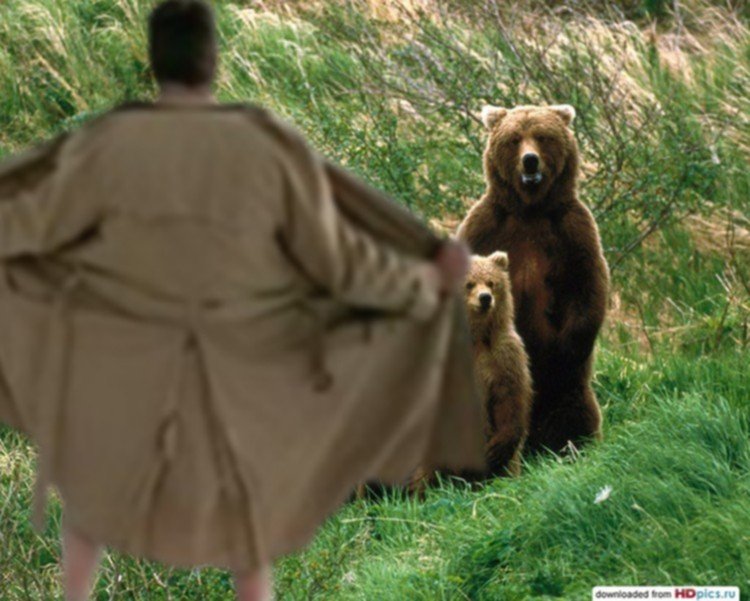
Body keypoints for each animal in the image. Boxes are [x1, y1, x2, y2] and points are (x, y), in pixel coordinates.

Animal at [465, 251, 532, 476]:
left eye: (491, 282)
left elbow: (509, 395)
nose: (485, 298)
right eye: (469, 284)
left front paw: (497, 450)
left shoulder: (503, 355)